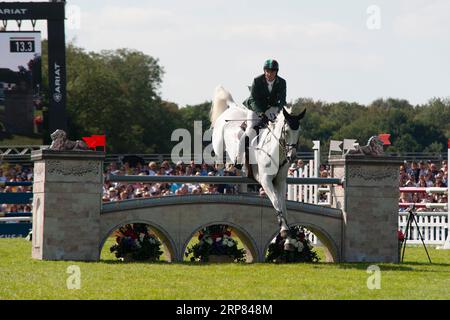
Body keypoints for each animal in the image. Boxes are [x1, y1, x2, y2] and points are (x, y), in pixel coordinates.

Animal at [211, 86, 306, 236]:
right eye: (286, 132)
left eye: (299, 132)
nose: (292, 156)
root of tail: (232, 108)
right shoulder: (265, 180)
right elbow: (276, 202)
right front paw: (284, 228)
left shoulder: (280, 182)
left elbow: (283, 204)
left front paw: (286, 227)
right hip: (219, 147)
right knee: (219, 163)